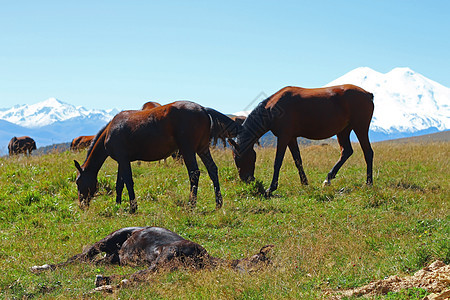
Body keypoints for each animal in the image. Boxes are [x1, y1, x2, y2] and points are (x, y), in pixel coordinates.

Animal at [29, 226, 272, 288]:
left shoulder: (165, 267)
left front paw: (104, 283)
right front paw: (104, 284)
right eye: (258, 260)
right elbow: (140, 274)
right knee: (79, 257)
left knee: (90, 261)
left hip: (111, 257)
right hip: (107, 240)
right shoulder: (164, 257)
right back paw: (40, 267)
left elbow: (140, 276)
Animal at [74, 101, 239, 213]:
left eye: (77, 182)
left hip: (188, 150)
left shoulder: (123, 160)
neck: (110, 130)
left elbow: (128, 181)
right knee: (212, 170)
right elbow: (119, 184)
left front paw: (133, 207)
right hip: (202, 149)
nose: (81, 204)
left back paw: (191, 204)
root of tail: (203, 109)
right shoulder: (123, 160)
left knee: (194, 173)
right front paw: (118, 204)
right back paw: (218, 203)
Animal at [227, 85, 374, 197]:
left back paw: (368, 183)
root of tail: (368, 94)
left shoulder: (284, 137)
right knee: (346, 152)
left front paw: (271, 188)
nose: (247, 180)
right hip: (343, 131)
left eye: (238, 158)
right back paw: (328, 179)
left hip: (360, 128)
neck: (272, 108)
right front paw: (305, 183)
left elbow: (277, 162)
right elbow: (298, 160)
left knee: (368, 153)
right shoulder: (291, 138)